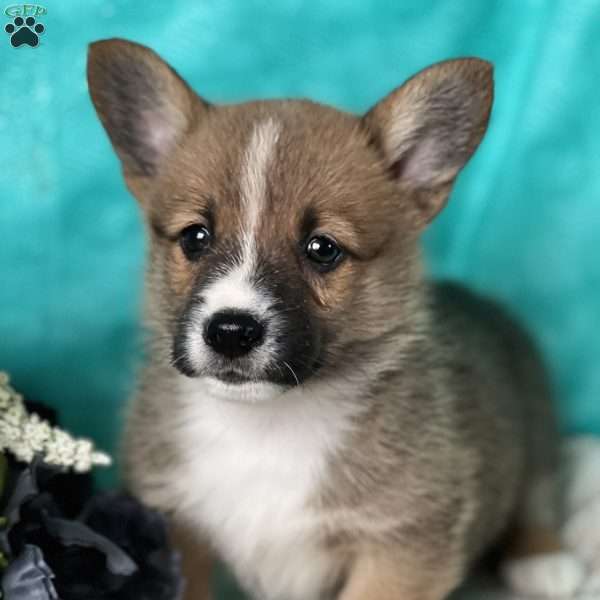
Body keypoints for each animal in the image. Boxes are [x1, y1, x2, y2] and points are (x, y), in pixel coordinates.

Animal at [86, 39, 584, 600]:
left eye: (322, 249)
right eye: (195, 237)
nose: (231, 332)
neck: (265, 427)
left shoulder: (401, 545)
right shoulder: (175, 528)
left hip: (538, 432)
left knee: (536, 495)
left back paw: (545, 561)